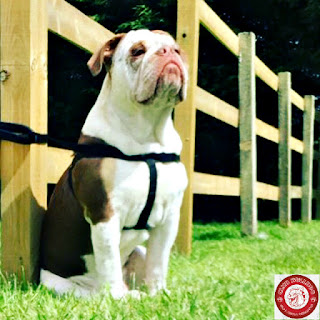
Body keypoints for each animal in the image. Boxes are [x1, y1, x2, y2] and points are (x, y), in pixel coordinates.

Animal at [39, 28, 188, 298]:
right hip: (62, 286)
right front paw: (118, 298)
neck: (148, 136)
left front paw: (159, 294)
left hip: (139, 252)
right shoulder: (104, 212)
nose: (168, 53)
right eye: (137, 51)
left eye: (177, 50)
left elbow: (159, 262)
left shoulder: (170, 217)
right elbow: (109, 261)